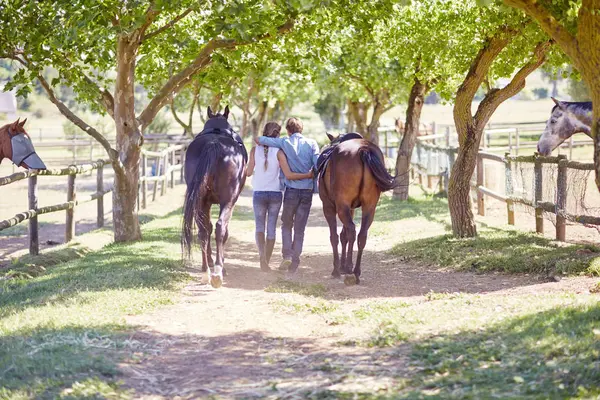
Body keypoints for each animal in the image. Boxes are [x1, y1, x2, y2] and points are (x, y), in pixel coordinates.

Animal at [183, 106, 248, 288]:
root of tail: (213, 144)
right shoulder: (230, 201)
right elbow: (223, 231)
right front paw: (220, 264)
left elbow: (207, 227)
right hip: (228, 200)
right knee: (220, 228)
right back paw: (218, 272)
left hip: (200, 201)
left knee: (203, 232)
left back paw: (206, 272)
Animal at [316, 133, 396, 286]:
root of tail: (363, 149)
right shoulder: (351, 209)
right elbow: (344, 236)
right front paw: (343, 266)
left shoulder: (329, 207)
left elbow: (335, 237)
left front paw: (338, 269)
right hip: (369, 207)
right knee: (361, 235)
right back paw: (356, 271)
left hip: (342, 207)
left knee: (352, 231)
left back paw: (347, 270)